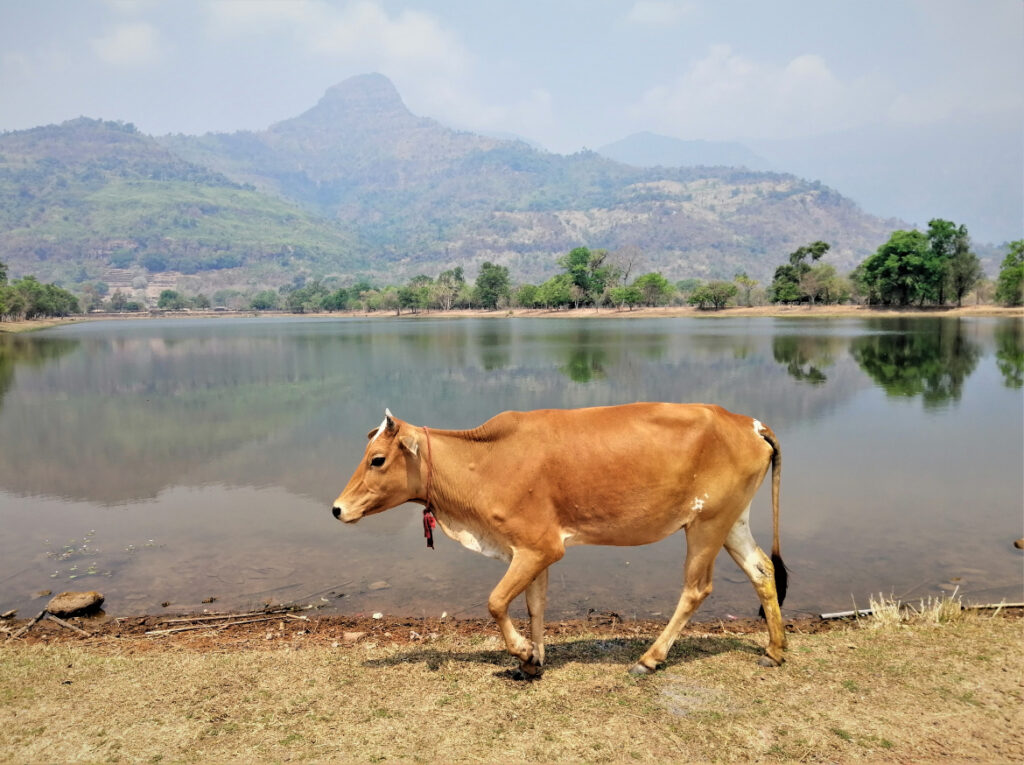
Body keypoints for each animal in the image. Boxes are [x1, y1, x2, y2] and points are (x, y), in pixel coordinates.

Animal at [331, 401, 786, 675]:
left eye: (377, 460)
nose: (337, 508)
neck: (483, 463)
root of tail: (749, 423)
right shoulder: (530, 549)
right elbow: (535, 605)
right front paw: (534, 660)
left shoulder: (539, 547)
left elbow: (496, 602)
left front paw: (522, 652)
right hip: (730, 520)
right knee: (762, 571)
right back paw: (775, 649)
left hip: (706, 523)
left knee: (696, 588)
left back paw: (649, 659)